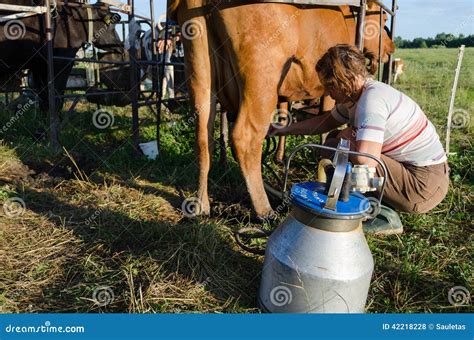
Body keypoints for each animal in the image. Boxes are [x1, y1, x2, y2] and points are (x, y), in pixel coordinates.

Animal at [168, 0, 394, 218]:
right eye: (383, 20)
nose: (391, 48)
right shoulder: (330, 90)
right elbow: (325, 125)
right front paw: (321, 160)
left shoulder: (285, 95)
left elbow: (285, 120)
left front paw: (279, 157)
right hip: (262, 73)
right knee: (245, 137)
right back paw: (264, 209)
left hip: (200, 67)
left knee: (203, 138)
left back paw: (201, 205)